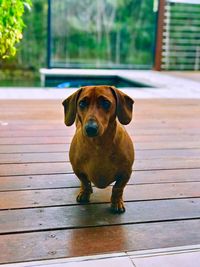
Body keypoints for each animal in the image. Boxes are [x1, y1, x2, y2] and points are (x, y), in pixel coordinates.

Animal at [62, 85, 134, 214]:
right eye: (82, 103)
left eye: (106, 103)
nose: (90, 128)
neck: (99, 145)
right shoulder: (78, 170)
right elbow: (85, 182)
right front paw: (85, 193)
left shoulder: (126, 173)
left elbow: (117, 188)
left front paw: (116, 203)